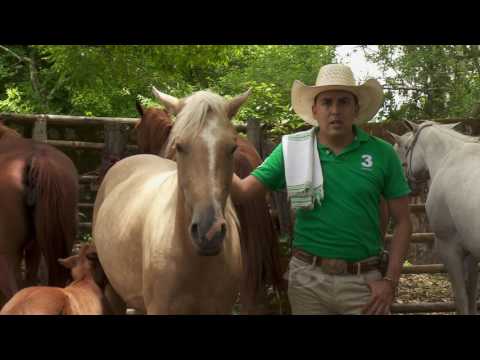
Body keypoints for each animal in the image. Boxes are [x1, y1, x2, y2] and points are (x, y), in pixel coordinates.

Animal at [390, 119, 480, 314]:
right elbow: (470, 296)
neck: (448, 158)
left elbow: (461, 299)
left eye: (403, 148)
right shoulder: (471, 253)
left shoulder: (449, 248)